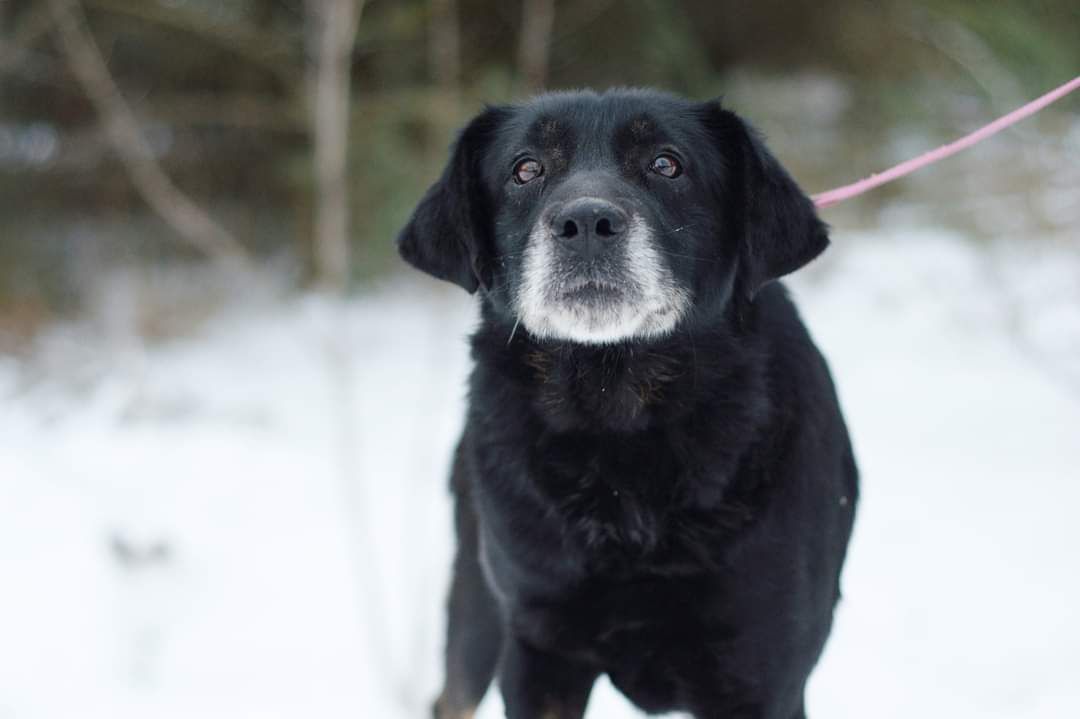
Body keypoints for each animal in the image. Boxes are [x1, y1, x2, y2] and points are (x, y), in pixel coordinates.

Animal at [399, 89, 859, 716]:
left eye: (667, 163)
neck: (615, 417)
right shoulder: (539, 651)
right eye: (526, 169)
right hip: (477, 606)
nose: (587, 223)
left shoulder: (762, 672)